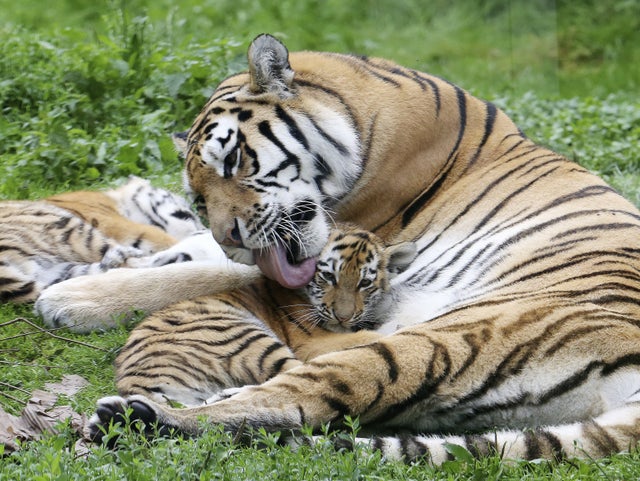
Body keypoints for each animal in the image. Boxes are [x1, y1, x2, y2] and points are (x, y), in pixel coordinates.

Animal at [38, 33, 640, 462]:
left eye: (233, 161)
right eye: (200, 199)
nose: (231, 236)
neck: (358, 111)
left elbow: (205, 275)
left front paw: (71, 298)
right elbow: (188, 253)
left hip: (435, 343)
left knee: (293, 401)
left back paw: (133, 418)